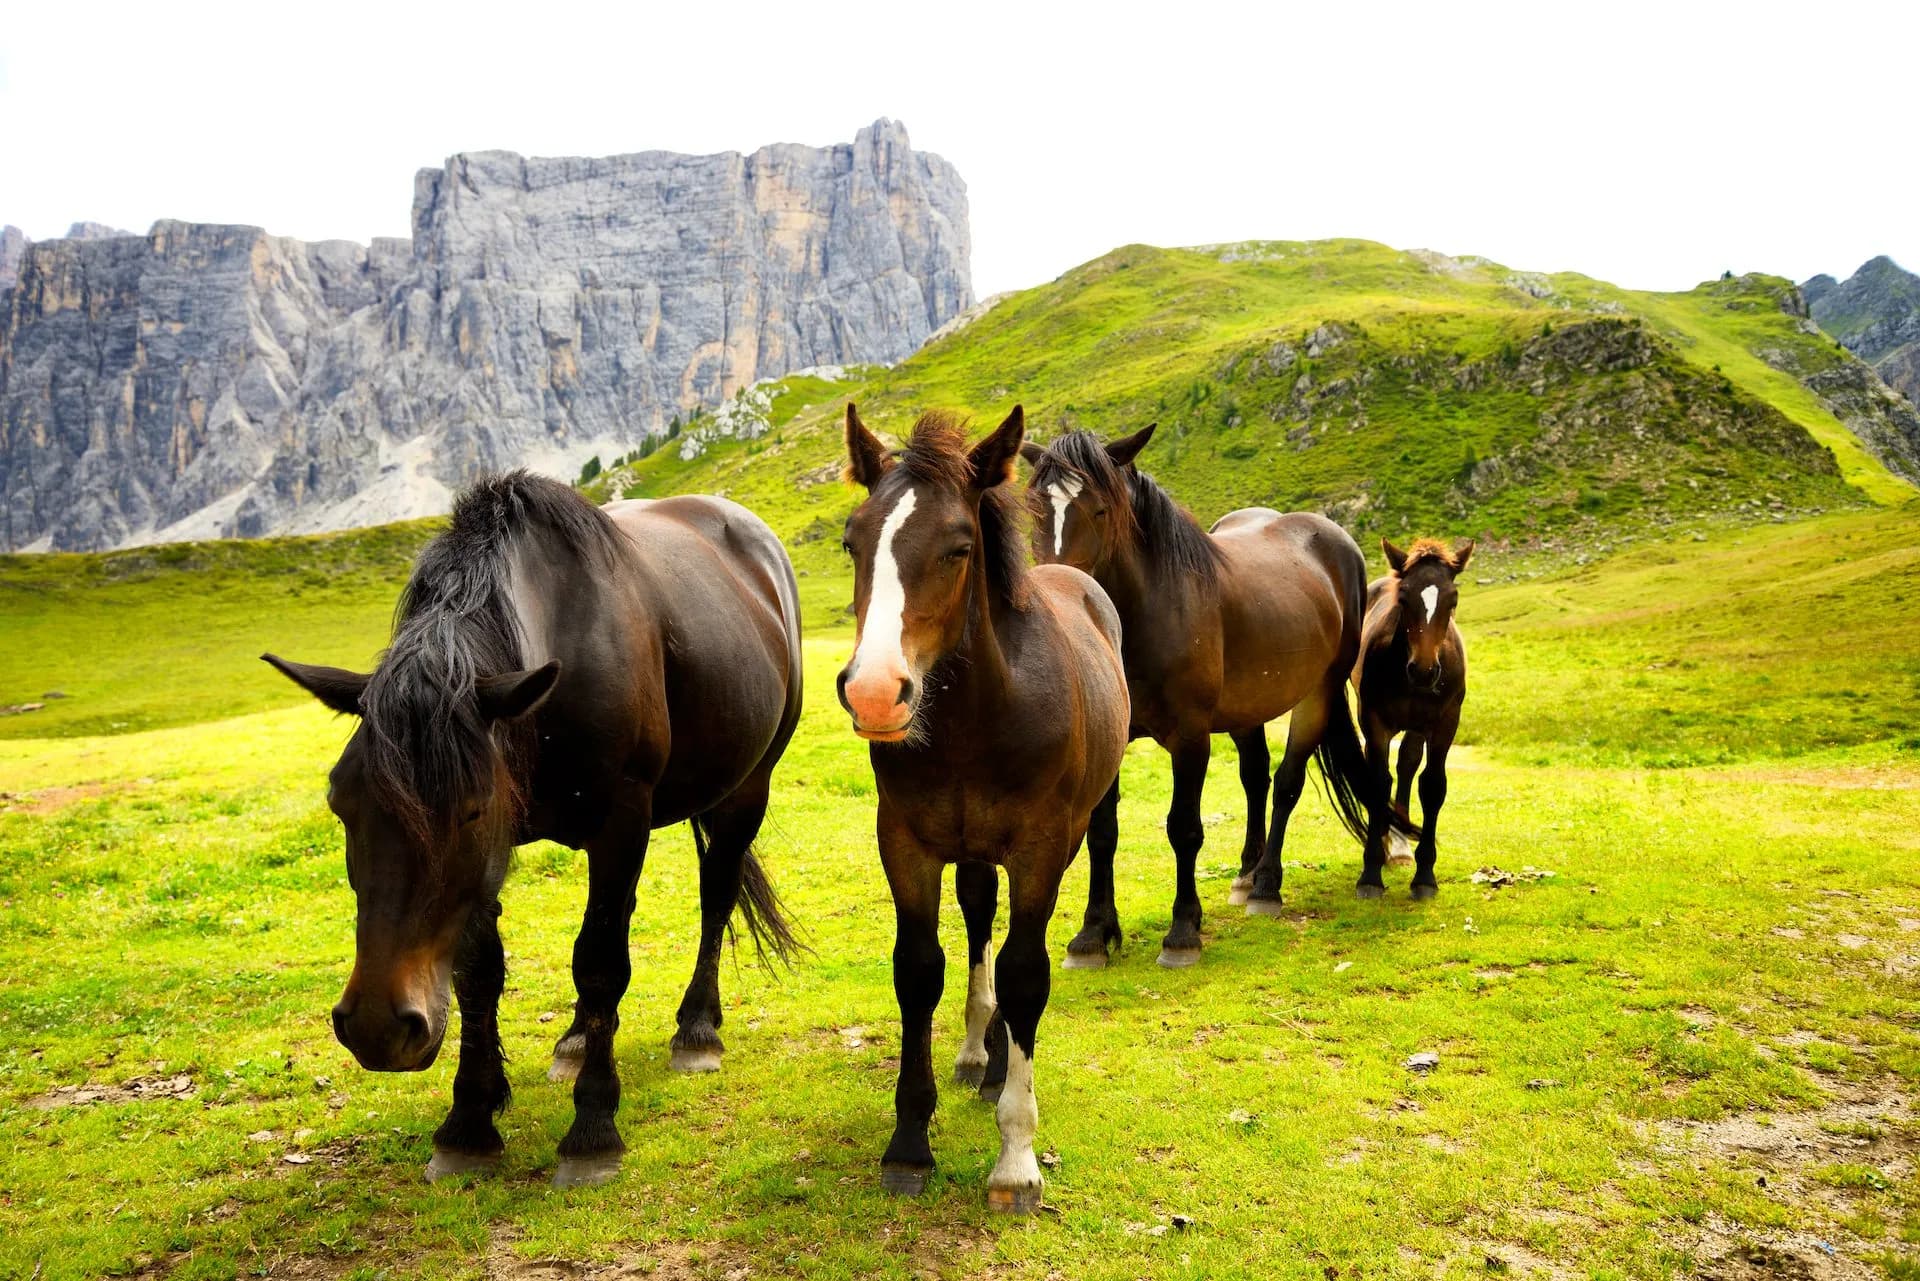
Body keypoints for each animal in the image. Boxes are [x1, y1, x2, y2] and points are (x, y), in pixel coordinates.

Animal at [264, 472, 803, 1188]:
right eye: (339, 803)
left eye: (469, 808)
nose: (378, 1026)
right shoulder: (492, 859)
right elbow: (478, 974)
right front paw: (469, 1122)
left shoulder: (620, 824)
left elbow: (601, 964)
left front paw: (593, 1129)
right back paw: (576, 1038)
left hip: (748, 789)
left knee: (715, 895)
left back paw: (697, 1030)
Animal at [835, 404, 1129, 1214]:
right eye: (852, 541)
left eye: (959, 547)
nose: (875, 692)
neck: (977, 716)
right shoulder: (905, 841)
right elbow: (919, 969)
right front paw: (909, 1142)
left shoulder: (1039, 847)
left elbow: (1026, 973)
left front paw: (1017, 1159)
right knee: (975, 918)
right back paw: (977, 1049)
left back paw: (999, 1060)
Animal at [1021, 426, 1417, 966]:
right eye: (1035, 509)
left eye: (1101, 509)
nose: (1060, 590)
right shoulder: (1115, 739)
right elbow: (1102, 833)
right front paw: (1093, 934)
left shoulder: (1190, 738)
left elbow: (1184, 828)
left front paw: (1183, 930)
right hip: (1246, 710)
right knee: (1256, 778)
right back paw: (1246, 875)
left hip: (1315, 696)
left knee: (1286, 783)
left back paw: (1267, 885)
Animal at [1353, 537, 1473, 896]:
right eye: (1404, 597)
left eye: (1453, 599)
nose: (1423, 671)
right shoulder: (1374, 721)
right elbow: (1378, 783)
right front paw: (1371, 871)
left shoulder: (1444, 723)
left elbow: (1432, 785)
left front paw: (1424, 875)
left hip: (1418, 727)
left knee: (1407, 763)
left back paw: (1401, 845)